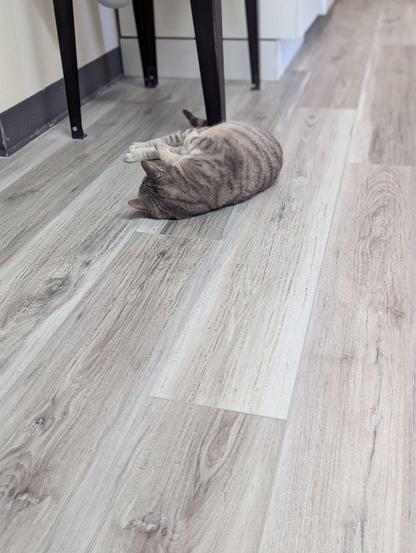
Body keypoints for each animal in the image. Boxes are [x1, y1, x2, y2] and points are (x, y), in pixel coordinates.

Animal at [125, 110, 283, 219]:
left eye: (144, 179)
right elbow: (167, 151)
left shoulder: (202, 144)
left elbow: (168, 152)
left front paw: (160, 149)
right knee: (164, 140)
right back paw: (136, 148)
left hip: (195, 133)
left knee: (167, 141)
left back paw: (137, 149)